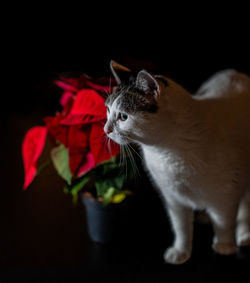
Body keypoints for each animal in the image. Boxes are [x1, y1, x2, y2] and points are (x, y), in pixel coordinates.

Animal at [103, 61, 250, 266]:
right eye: (108, 111)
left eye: (123, 117)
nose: (106, 129)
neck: (166, 153)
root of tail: (236, 73)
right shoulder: (172, 197)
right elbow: (181, 227)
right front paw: (180, 251)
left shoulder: (225, 194)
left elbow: (224, 222)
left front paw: (224, 246)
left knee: (245, 207)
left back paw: (244, 235)